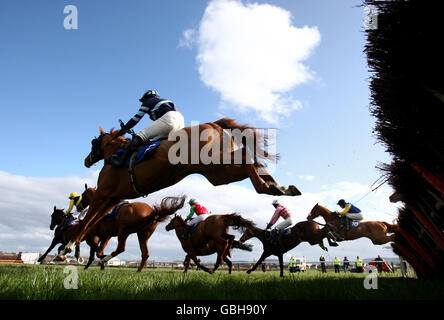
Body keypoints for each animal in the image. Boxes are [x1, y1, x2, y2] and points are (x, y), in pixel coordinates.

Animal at [59, 118, 302, 258]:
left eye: (93, 142)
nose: (87, 160)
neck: (114, 154)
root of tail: (213, 123)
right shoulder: (113, 199)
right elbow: (94, 221)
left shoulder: (103, 194)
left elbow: (87, 221)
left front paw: (66, 248)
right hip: (217, 173)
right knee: (247, 160)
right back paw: (278, 186)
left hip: (214, 164)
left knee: (245, 157)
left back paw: (269, 186)